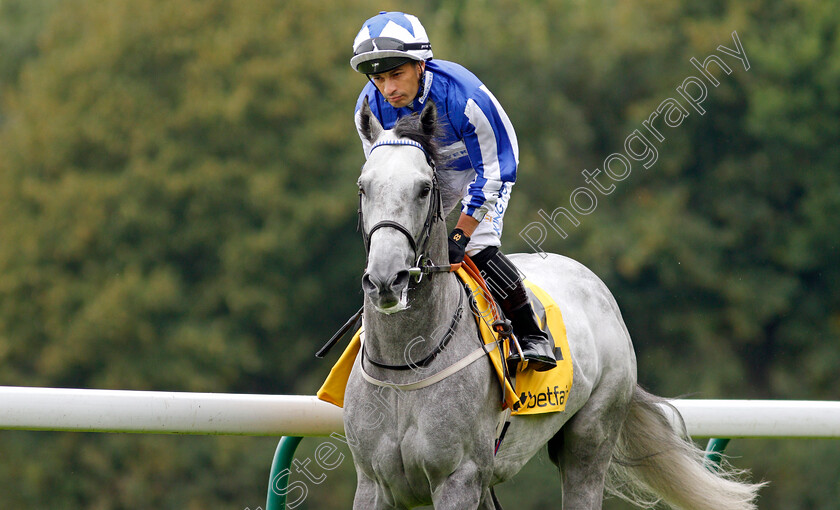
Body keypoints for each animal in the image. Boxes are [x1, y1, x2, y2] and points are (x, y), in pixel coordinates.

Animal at [344, 97, 764, 508]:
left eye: (423, 189)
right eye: (363, 187)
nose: (386, 279)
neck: (405, 366)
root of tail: (598, 289)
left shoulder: (459, 478)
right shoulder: (373, 483)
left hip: (590, 438)